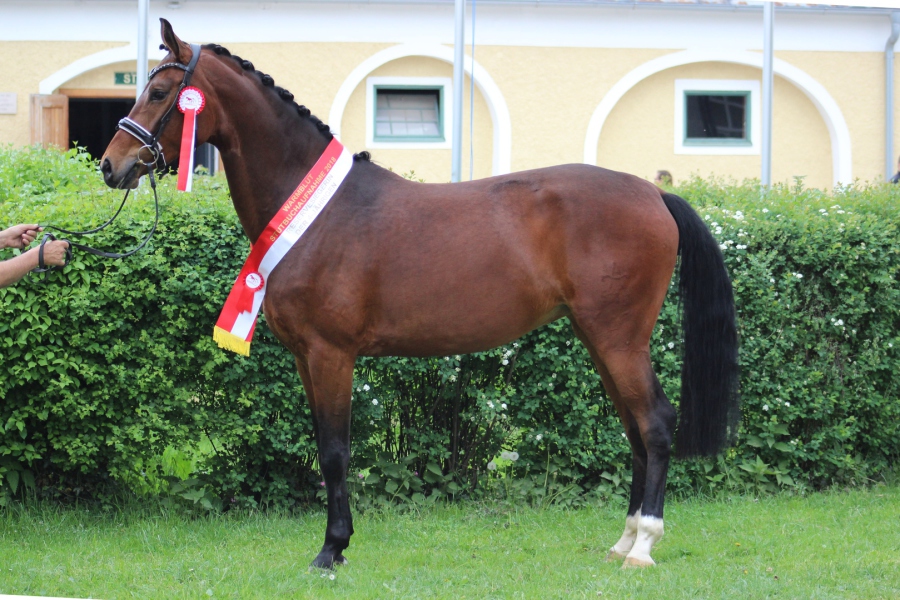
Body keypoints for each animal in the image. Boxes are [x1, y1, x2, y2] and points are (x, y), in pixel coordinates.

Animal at [101, 19, 739, 569]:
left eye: (160, 92)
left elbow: (335, 452)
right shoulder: (308, 358)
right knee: (634, 429)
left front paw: (332, 550)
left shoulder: (332, 354)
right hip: (598, 337)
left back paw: (643, 546)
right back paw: (623, 539)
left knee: (654, 423)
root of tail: (652, 195)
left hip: (618, 337)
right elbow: (325, 446)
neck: (319, 211)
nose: (112, 165)